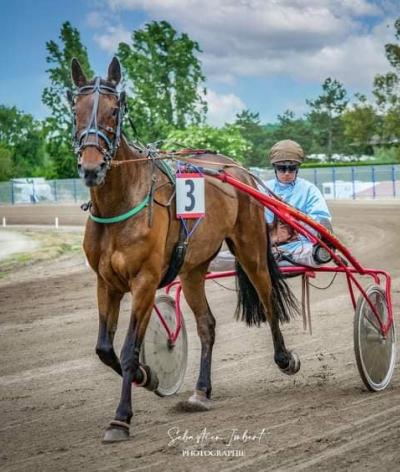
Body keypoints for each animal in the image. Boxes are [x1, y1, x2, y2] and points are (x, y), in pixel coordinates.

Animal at [70, 58, 298, 442]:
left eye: (114, 110)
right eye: (76, 109)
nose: (91, 167)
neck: (121, 202)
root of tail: (237, 168)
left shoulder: (145, 281)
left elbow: (129, 350)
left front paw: (121, 418)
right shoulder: (106, 282)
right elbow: (104, 349)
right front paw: (149, 375)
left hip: (250, 246)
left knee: (268, 300)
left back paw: (285, 359)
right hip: (192, 270)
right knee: (207, 324)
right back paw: (201, 391)